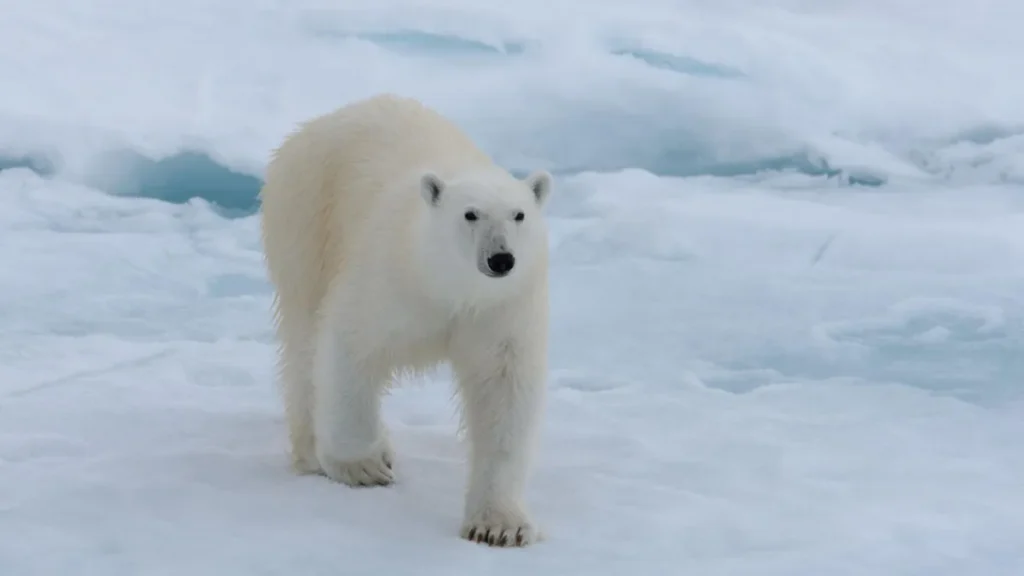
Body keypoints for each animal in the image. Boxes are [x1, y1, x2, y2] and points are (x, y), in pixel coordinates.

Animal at [258, 93, 553, 548]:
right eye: (470, 214)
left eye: (519, 215)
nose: (501, 258)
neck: (447, 285)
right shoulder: (388, 279)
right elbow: (347, 346)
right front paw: (363, 464)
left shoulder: (503, 307)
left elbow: (504, 390)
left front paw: (499, 525)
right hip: (305, 220)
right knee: (304, 340)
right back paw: (313, 451)